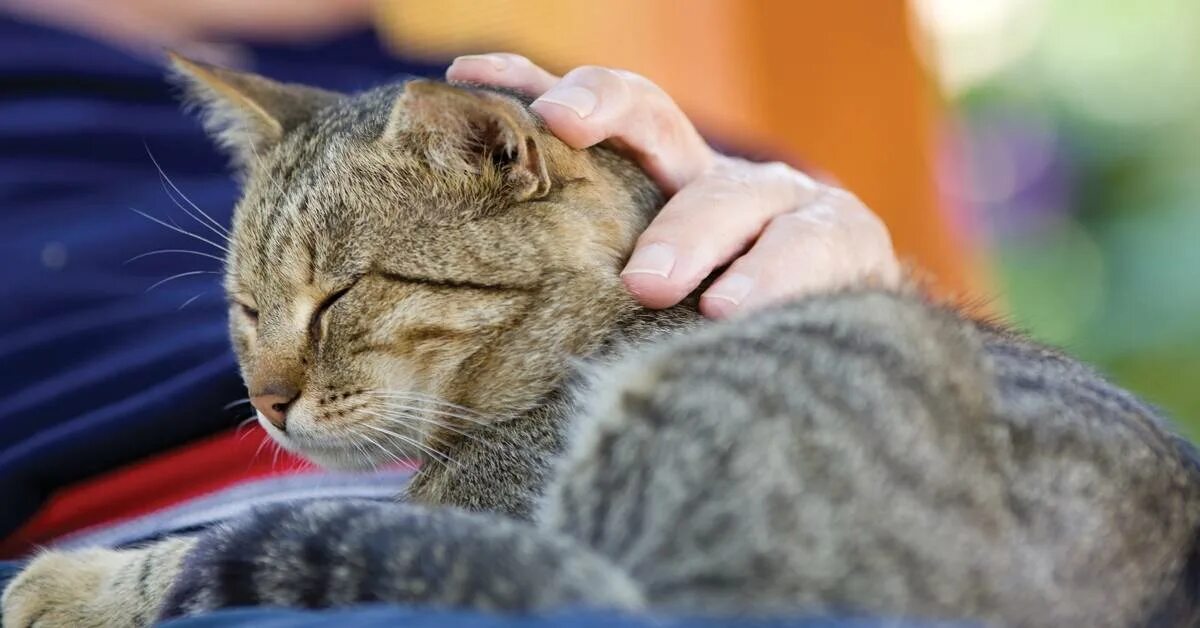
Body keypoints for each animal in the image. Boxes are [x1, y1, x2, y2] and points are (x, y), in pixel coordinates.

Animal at [2, 55, 1200, 628]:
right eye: (246, 308)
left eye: (337, 296)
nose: (265, 399)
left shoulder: (487, 516)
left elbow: (197, 551)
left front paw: (65, 585)